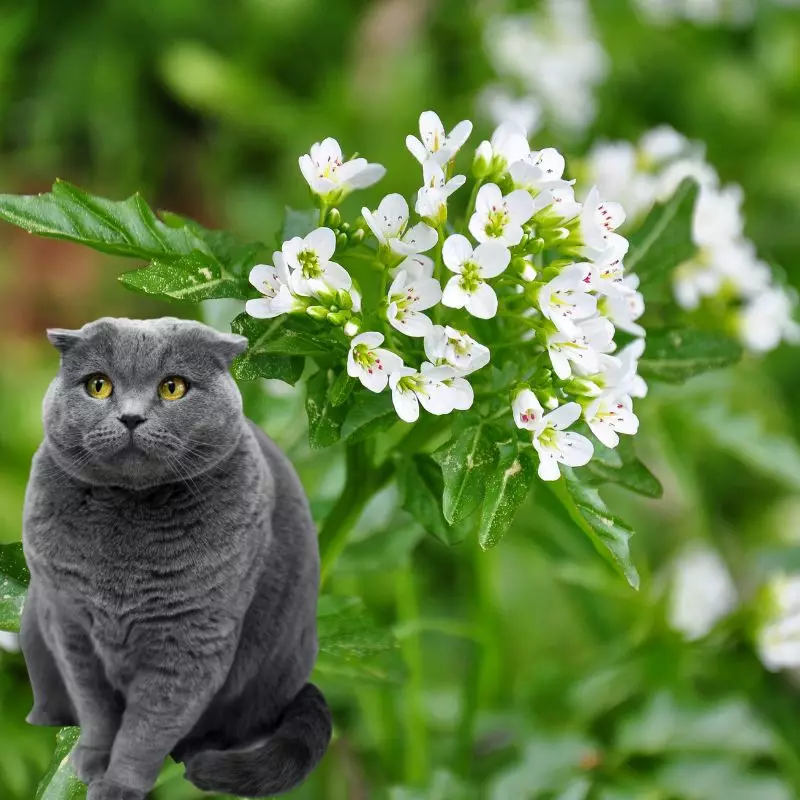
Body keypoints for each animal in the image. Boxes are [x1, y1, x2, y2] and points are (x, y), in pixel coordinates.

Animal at [19, 316, 332, 796]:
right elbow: (96, 711)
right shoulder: (72, 629)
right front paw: (91, 762)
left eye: (172, 387)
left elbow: (147, 727)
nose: (131, 416)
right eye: (98, 385)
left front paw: (118, 785)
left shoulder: (190, 640)